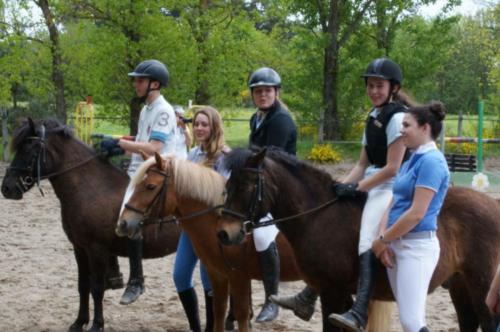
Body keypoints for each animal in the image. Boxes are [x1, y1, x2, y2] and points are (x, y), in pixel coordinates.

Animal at [0, 118, 181, 332]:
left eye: (29, 149)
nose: (7, 188)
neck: (92, 189)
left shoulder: (97, 249)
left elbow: (97, 288)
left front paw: (96, 324)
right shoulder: (80, 248)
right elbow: (83, 285)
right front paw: (79, 322)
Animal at [116, 153, 304, 332]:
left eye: (150, 187)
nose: (123, 223)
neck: (217, 221)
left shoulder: (239, 276)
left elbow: (242, 315)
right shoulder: (217, 274)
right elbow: (218, 310)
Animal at [217, 148, 500, 332]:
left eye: (247, 186)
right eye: (228, 186)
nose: (224, 233)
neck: (318, 215)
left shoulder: (332, 291)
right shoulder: (336, 291)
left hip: (482, 285)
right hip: (460, 285)